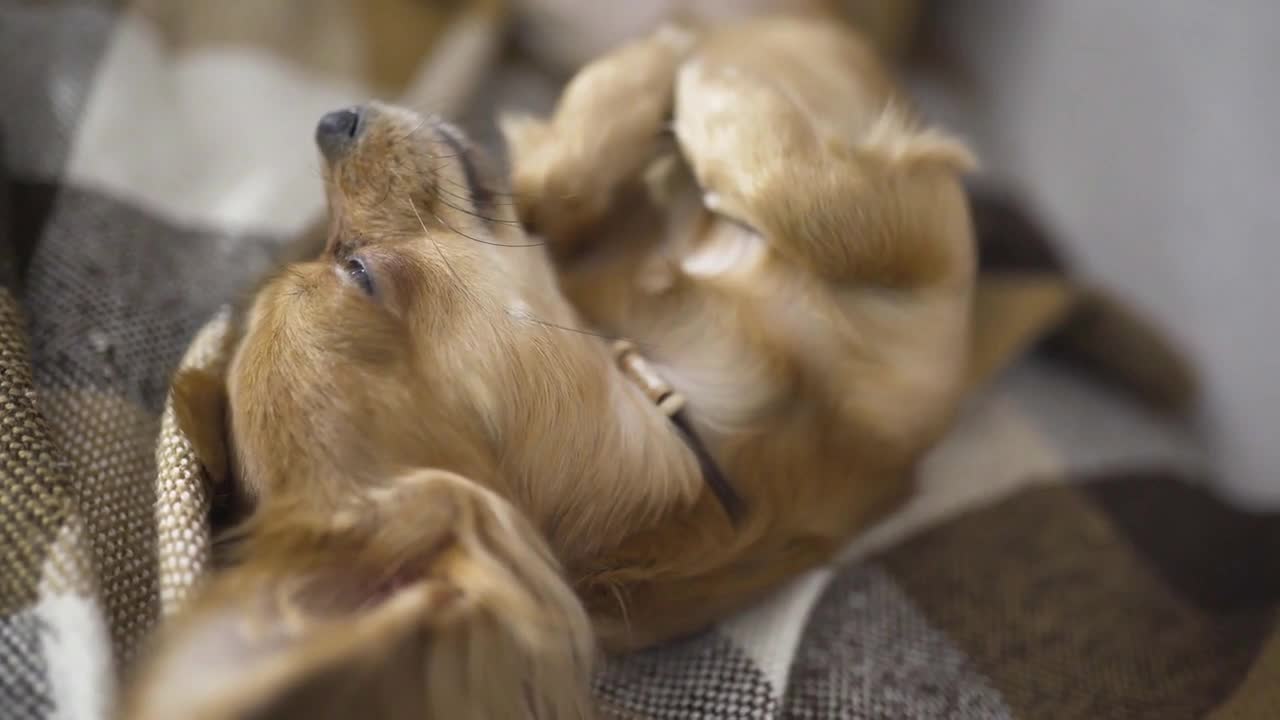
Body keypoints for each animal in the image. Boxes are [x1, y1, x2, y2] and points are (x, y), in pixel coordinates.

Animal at [124, 16, 972, 717]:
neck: (668, 375)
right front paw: (702, 89)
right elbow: (818, 206)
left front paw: (632, 92)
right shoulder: (934, 303)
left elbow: (546, 193)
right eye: (357, 270)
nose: (331, 122)